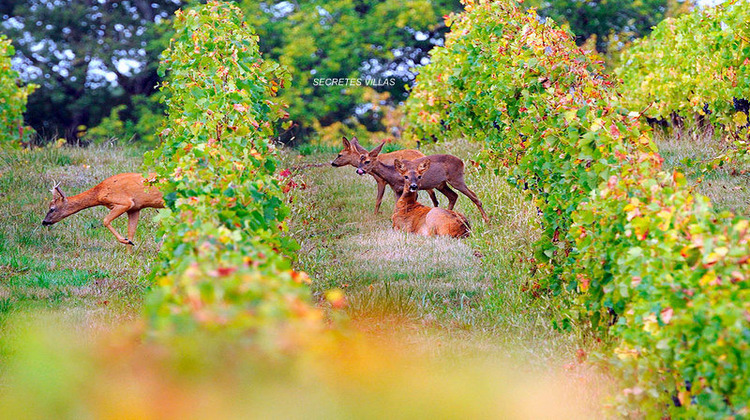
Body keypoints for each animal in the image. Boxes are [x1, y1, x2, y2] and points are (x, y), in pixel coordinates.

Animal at [360, 143, 494, 223]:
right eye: (360, 160)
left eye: (367, 161)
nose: (359, 170)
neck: (393, 174)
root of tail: (462, 162)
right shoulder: (396, 189)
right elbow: (397, 204)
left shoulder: (411, 188)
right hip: (441, 184)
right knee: (453, 196)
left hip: (456, 179)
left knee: (474, 196)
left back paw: (487, 220)